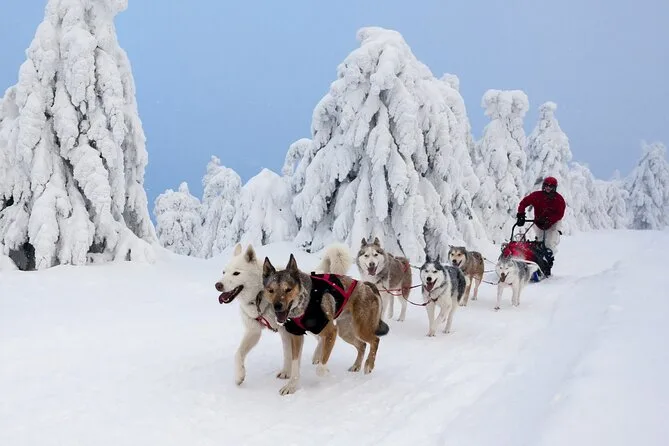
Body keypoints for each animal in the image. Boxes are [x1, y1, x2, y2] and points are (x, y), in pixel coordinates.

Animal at [214, 243, 350, 388]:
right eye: (224, 272)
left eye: (236, 273)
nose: (218, 285)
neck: (260, 298)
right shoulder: (253, 331)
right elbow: (238, 354)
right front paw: (239, 375)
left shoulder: (286, 331)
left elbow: (288, 353)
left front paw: (287, 373)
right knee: (321, 338)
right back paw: (317, 356)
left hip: (312, 323)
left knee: (324, 336)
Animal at [262, 252, 389, 395]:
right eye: (271, 290)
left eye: (288, 289)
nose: (277, 306)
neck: (304, 304)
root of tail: (367, 286)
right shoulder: (296, 336)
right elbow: (295, 363)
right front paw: (291, 386)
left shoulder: (331, 332)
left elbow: (321, 365)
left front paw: (324, 371)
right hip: (345, 331)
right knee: (362, 345)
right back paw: (356, 365)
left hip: (360, 328)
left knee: (375, 340)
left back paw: (368, 365)